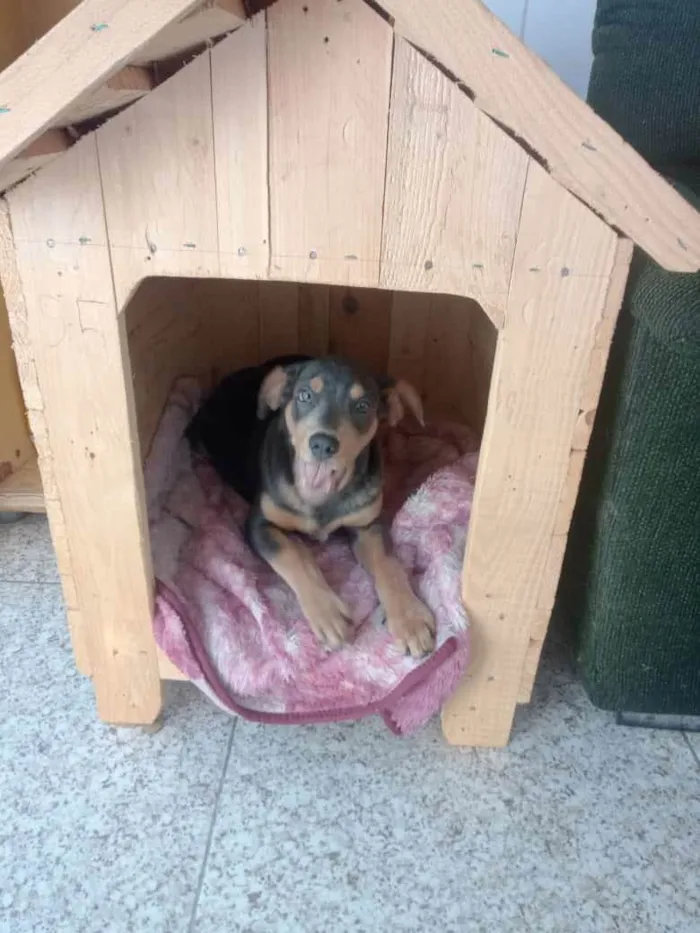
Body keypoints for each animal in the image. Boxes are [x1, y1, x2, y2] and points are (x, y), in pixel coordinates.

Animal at [186, 354, 438, 656]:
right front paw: (327, 613)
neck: (321, 498)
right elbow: (292, 555)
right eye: (304, 395)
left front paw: (410, 619)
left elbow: (388, 564)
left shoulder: (367, 525)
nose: (322, 444)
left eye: (363, 406)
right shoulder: (259, 524)